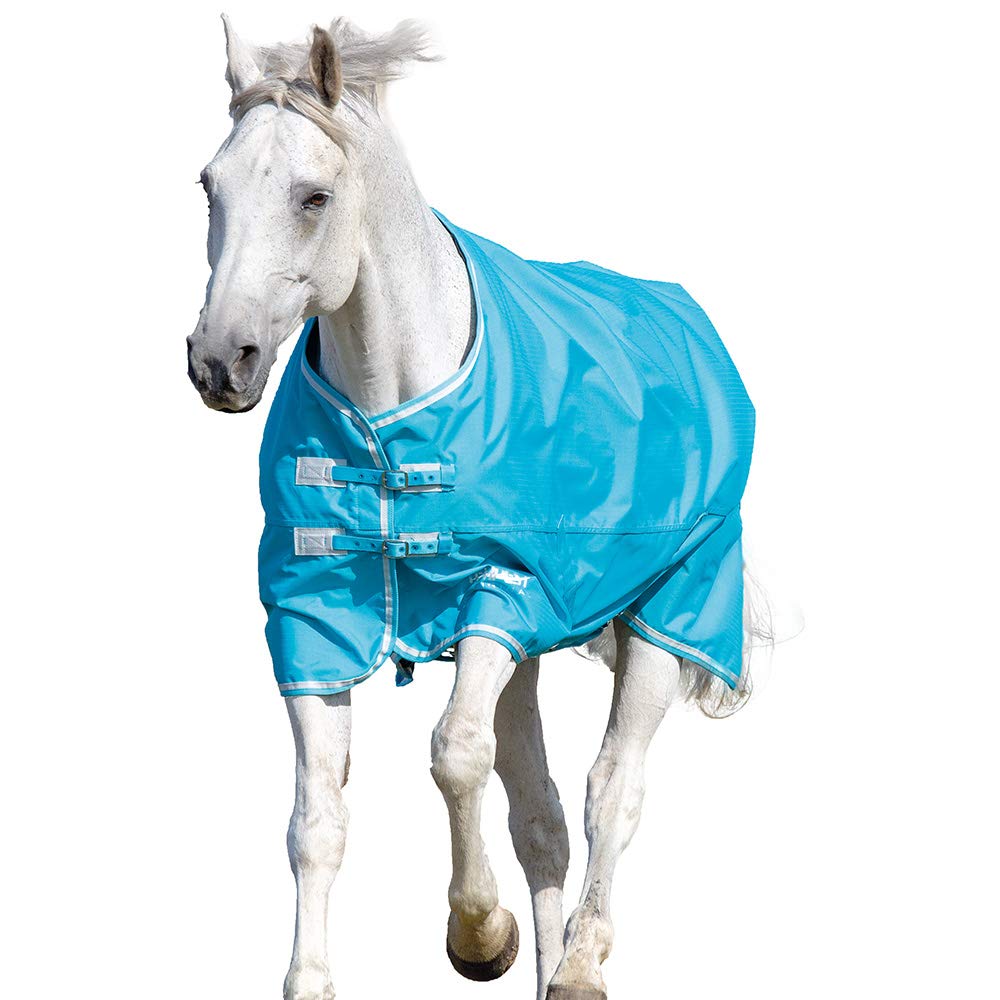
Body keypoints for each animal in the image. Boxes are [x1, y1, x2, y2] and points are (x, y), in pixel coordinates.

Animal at [187, 16, 768, 1000]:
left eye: (312, 196)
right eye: (209, 188)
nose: (219, 361)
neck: (392, 414)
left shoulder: (503, 590)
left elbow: (455, 753)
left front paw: (478, 933)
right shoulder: (313, 619)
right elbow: (317, 819)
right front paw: (313, 978)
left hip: (673, 609)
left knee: (612, 789)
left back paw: (578, 963)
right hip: (532, 657)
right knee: (542, 820)